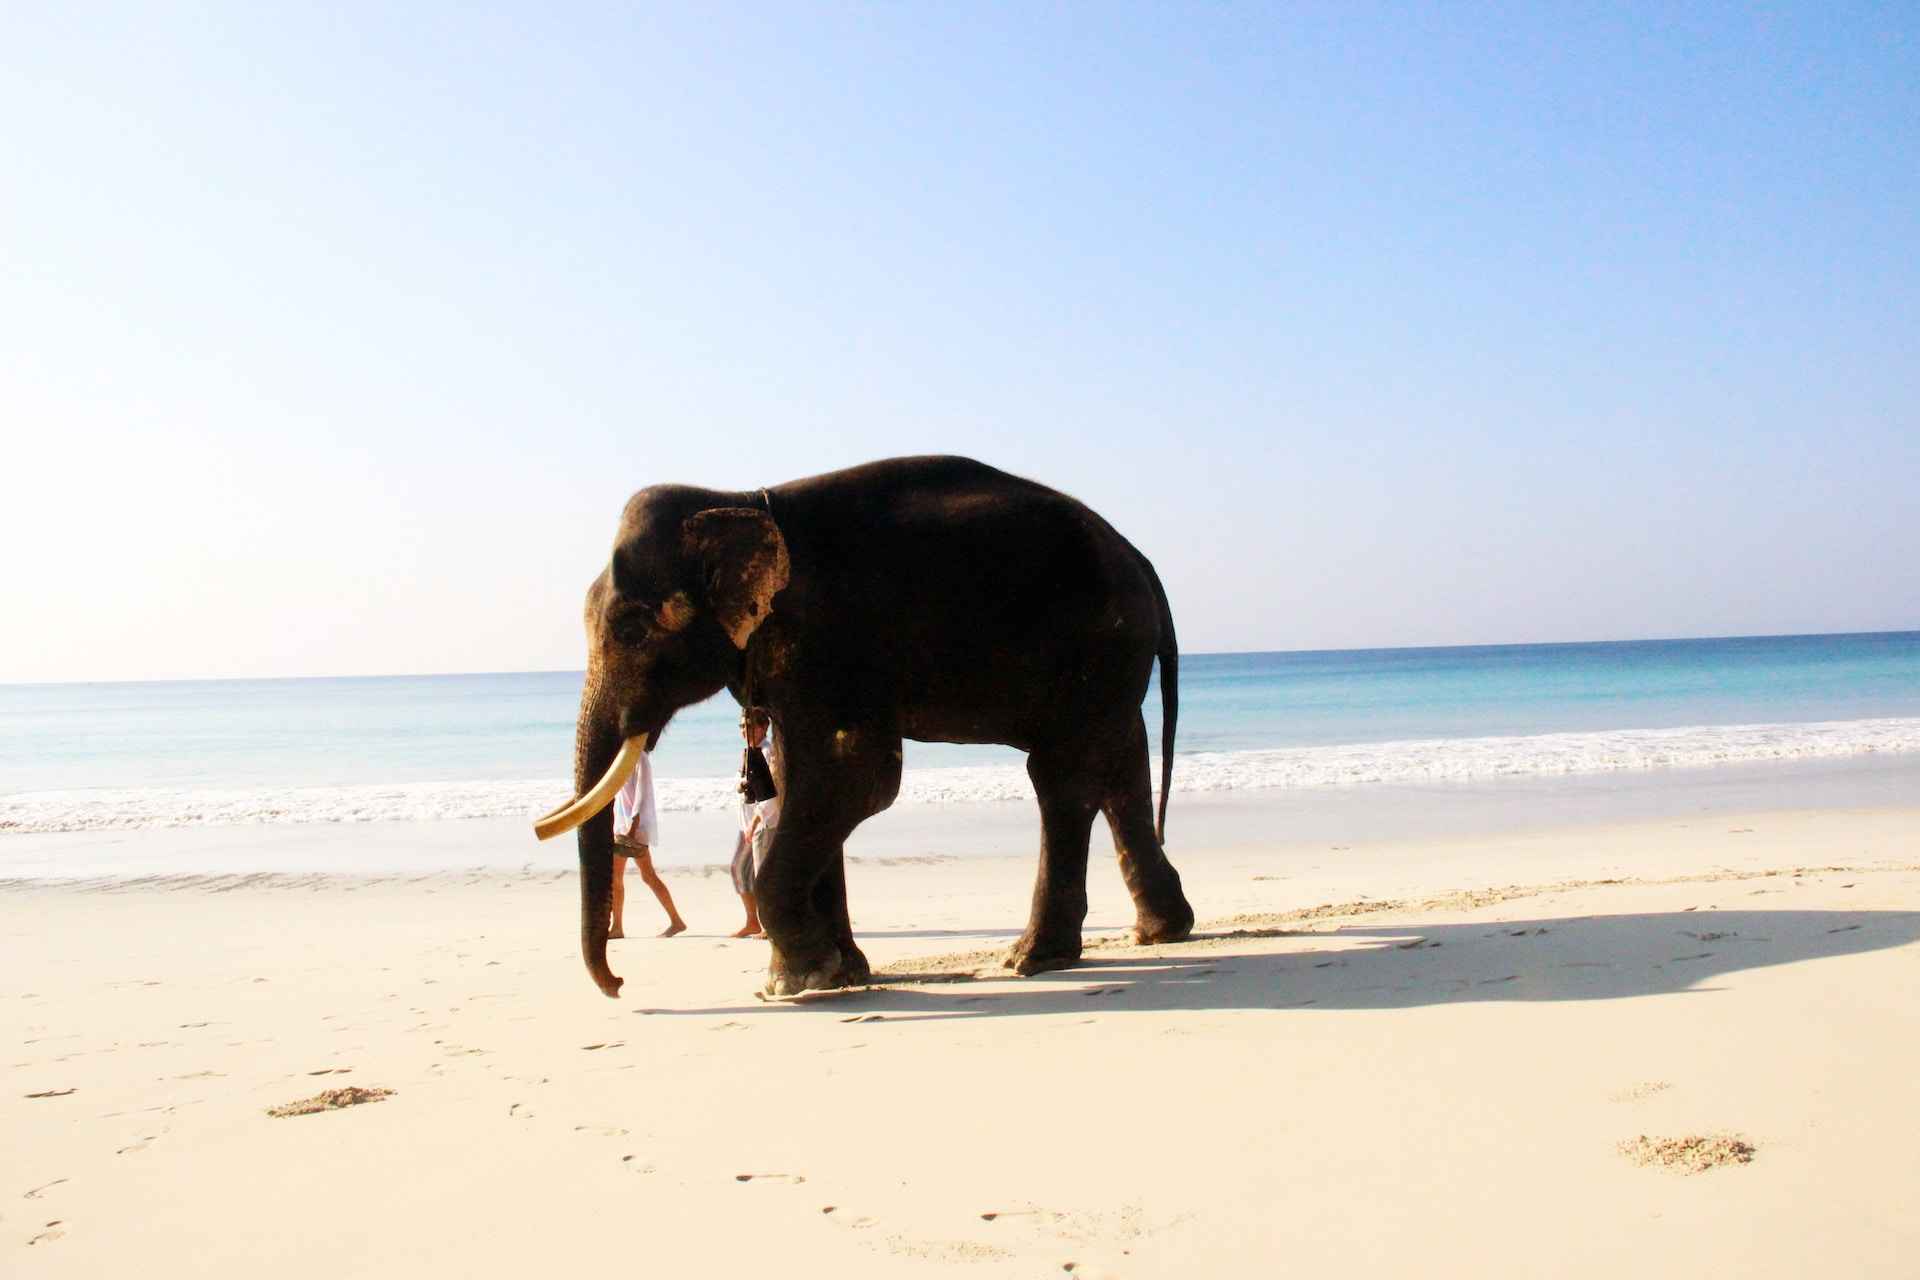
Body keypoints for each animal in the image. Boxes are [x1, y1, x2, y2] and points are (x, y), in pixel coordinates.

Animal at [537, 452, 1182, 997]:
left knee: (1062, 776)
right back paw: (1156, 933)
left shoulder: (830, 642)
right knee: (1117, 761)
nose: (620, 984)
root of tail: (1141, 559)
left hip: (1096, 644)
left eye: (631, 630)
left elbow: (856, 778)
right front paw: (836, 975)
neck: (739, 500)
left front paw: (798, 982)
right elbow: (799, 780)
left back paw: (1030, 959)